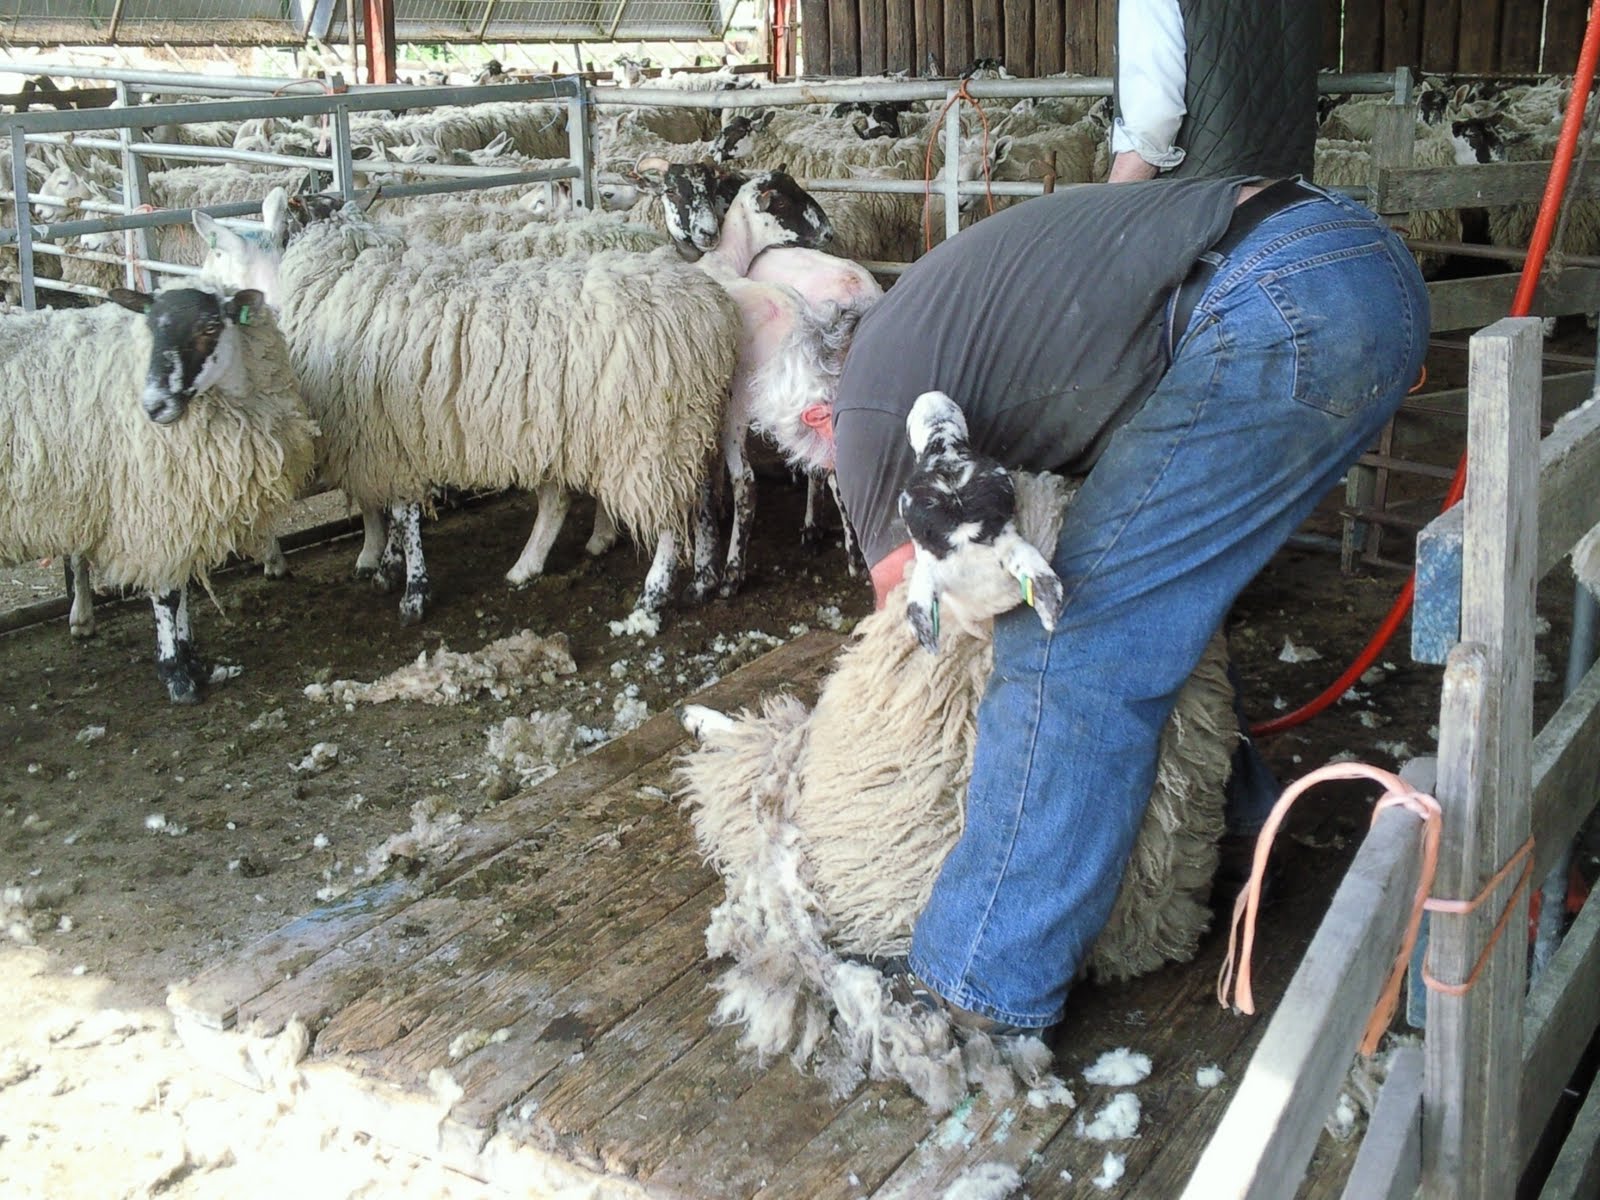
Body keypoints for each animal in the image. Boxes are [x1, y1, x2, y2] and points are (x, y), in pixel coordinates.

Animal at [0, 285, 317, 702]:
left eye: (210, 327)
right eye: (150, 327)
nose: (153, 405)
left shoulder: (182, 512)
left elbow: (183, 587)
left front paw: (195, 663)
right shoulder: (156, 511)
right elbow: (168, 594)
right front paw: (176, 675)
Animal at [203, 193, 741, 626]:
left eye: (219, 253)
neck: (339, 279)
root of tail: (712, 308)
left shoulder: (386, 435)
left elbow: (401, 514)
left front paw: (410, 591)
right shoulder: (384, 440)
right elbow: (388, 509)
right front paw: (385, 563)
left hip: (651, 437)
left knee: (667, 520)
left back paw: (650, 599)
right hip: (664, 429)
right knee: (690, 499)